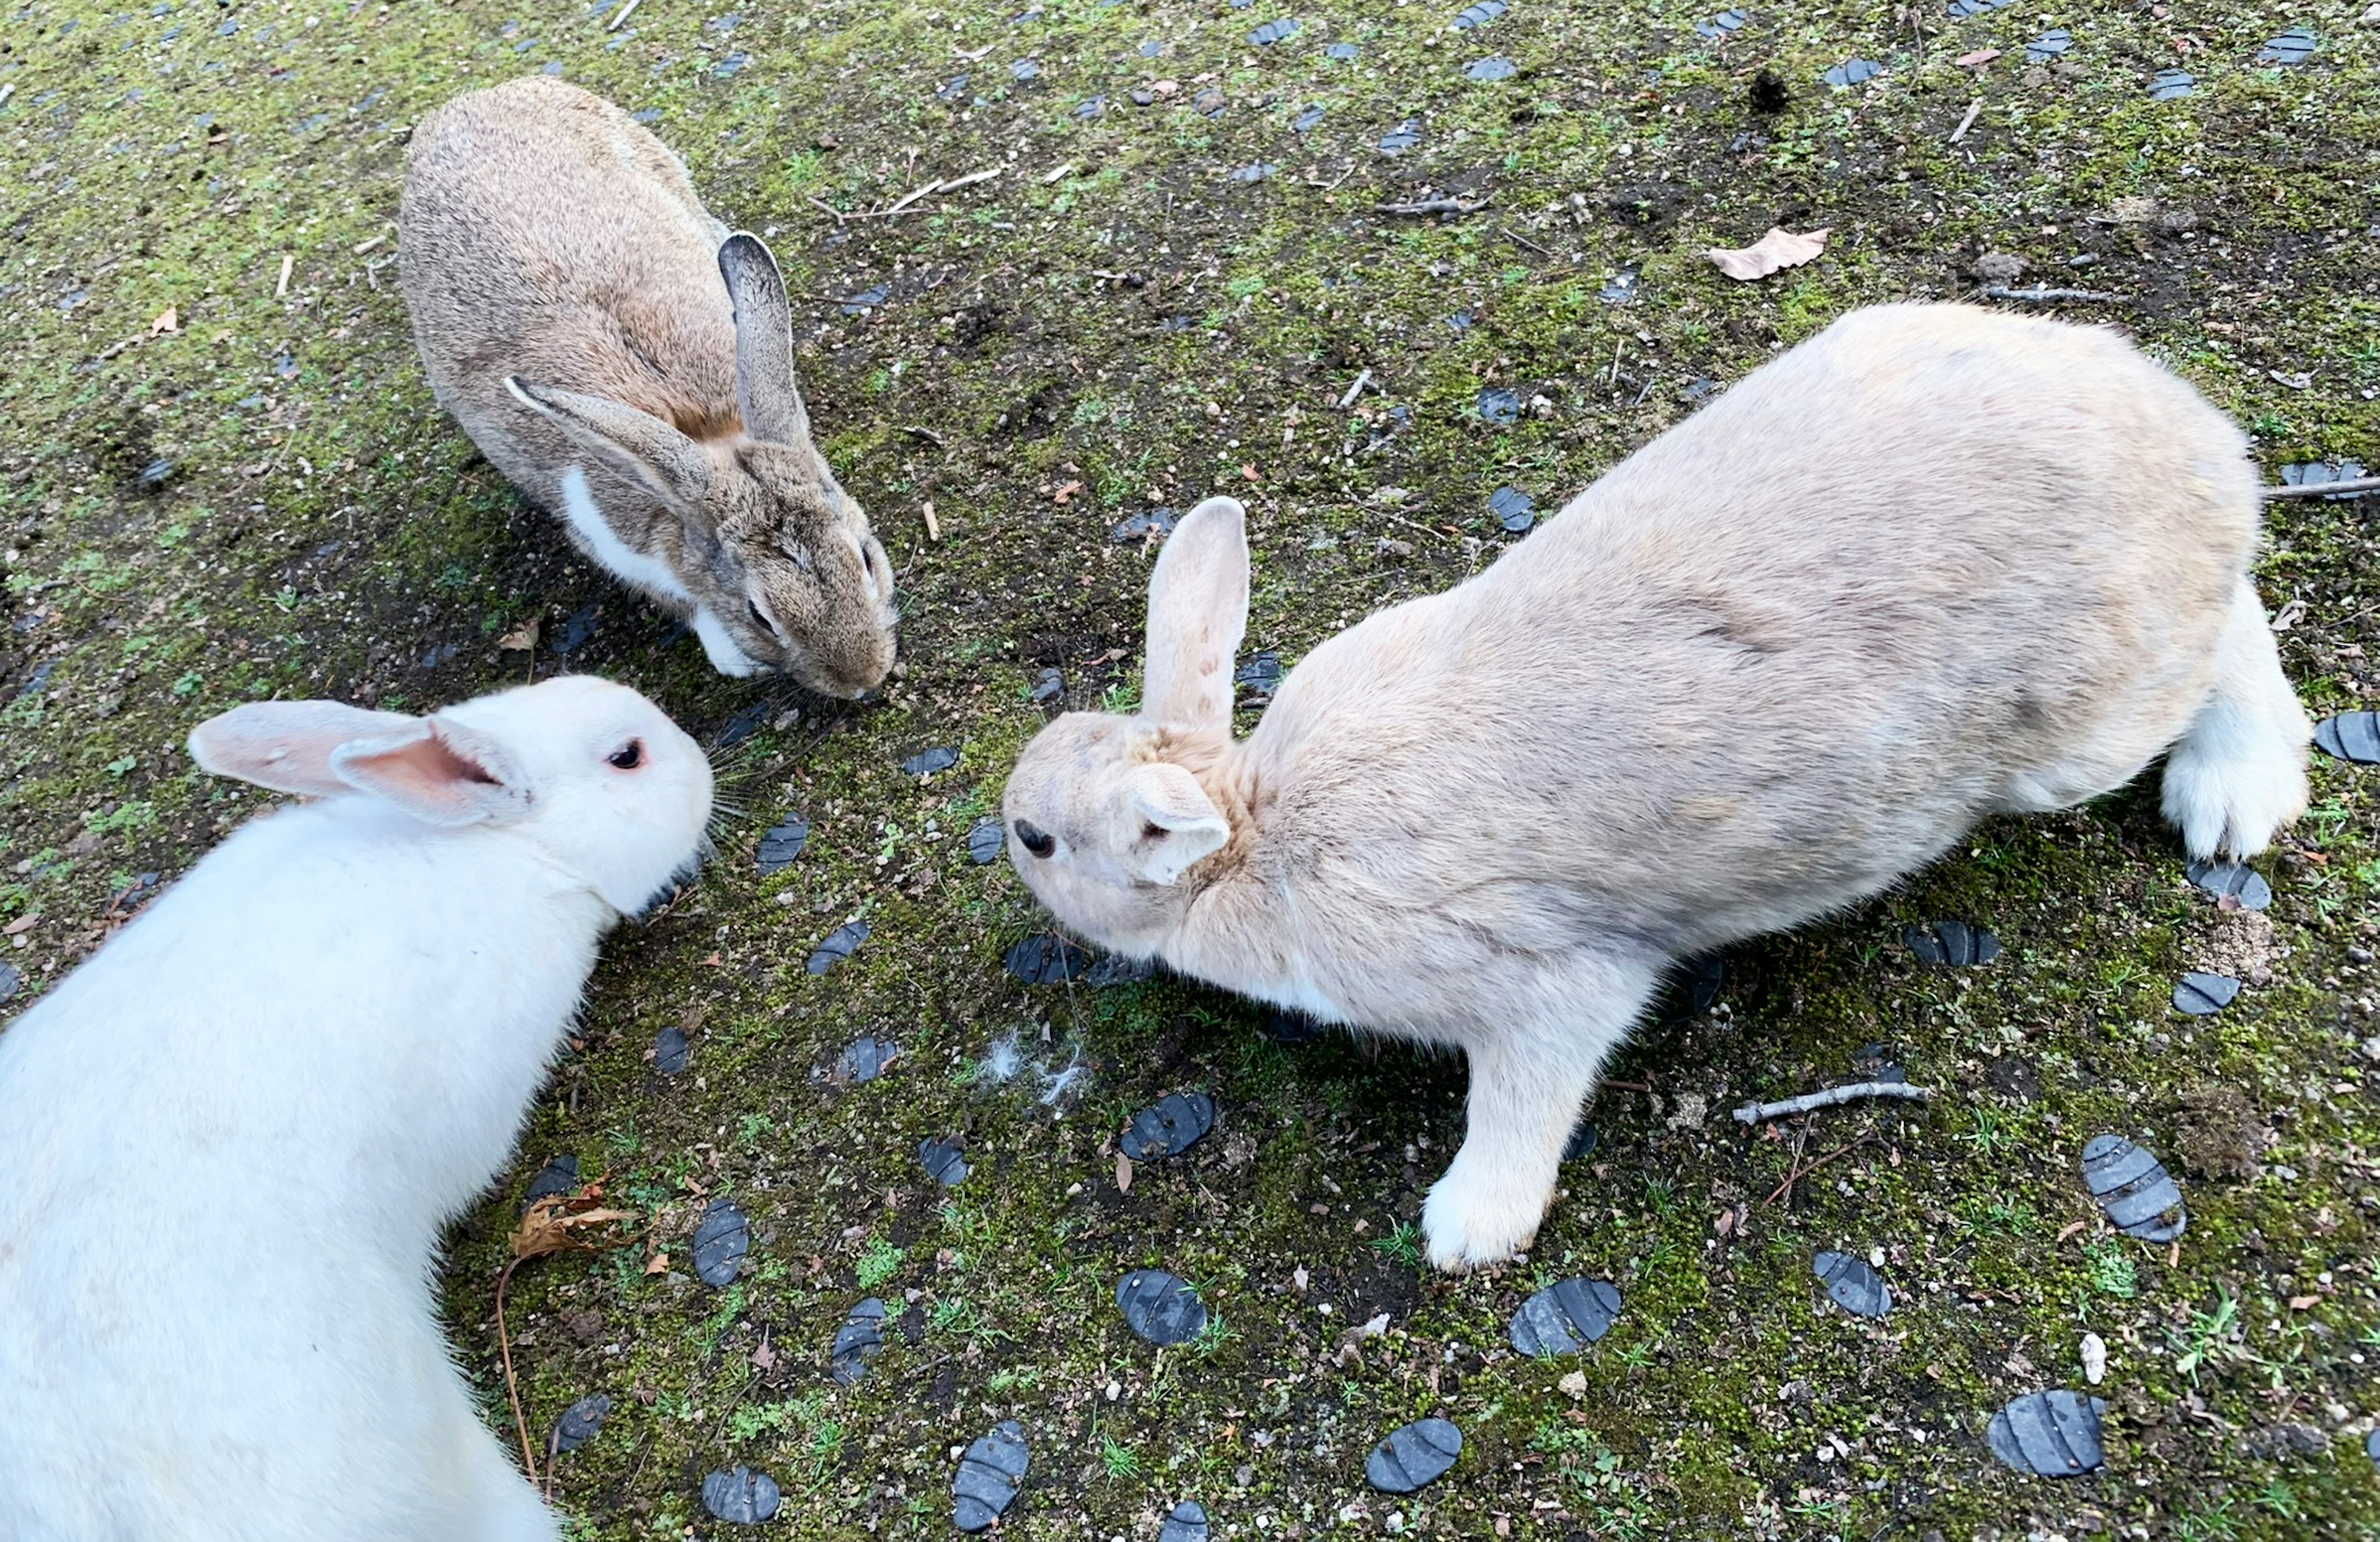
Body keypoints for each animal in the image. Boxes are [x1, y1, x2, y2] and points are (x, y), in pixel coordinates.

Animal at [400, 78, 899, 695]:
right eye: (760, 616)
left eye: (867, 557)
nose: (864, 679)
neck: (702, 432)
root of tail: (477, 96)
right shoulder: (609, 543)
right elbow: (684, 603)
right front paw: (736, 659)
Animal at [999, 307, 2304, 1275]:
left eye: (1038, 839)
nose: (998, 827)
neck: (1254, 830)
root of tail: (2193, 435)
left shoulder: (1539, 986)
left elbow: (1525, 1093)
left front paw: (1466, 1228)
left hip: (2086, 726)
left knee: (2231, 625)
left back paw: (2232, 795)